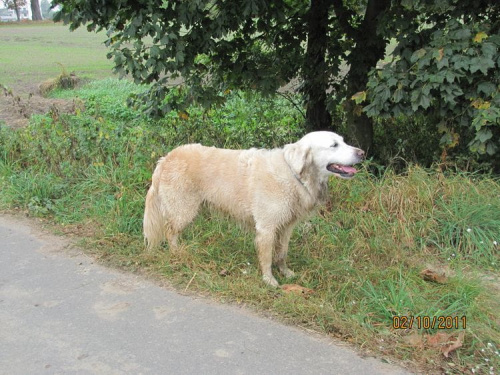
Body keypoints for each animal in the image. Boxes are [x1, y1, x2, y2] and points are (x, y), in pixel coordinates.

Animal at [144, 131, 364, 286]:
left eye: (343, 141)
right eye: (334, 145)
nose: (362, 153)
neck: (294, 174)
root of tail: (165, 159)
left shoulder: (286, 227)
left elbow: (282, 253)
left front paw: (285, 272)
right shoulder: (266, 228)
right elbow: (266, 258)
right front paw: (269, 280)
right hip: (184, 210)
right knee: (170, 231)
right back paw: (177, 253)